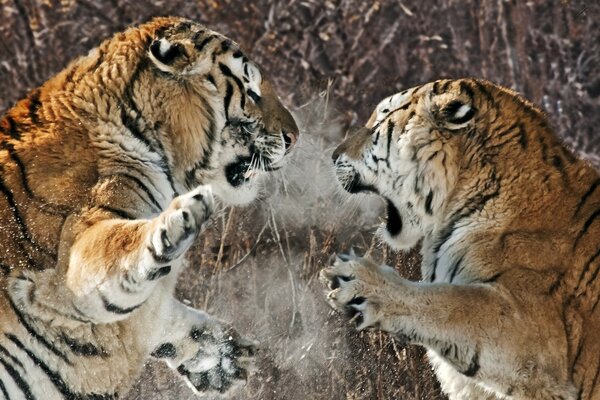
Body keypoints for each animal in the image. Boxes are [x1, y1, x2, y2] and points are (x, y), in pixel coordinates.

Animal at [0, 15, 298, 400]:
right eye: (250, 91)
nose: (295, 138)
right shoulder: (75, 254)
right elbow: (118, 253)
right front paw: (179, 220)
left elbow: (164, 313)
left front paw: (226, 355)